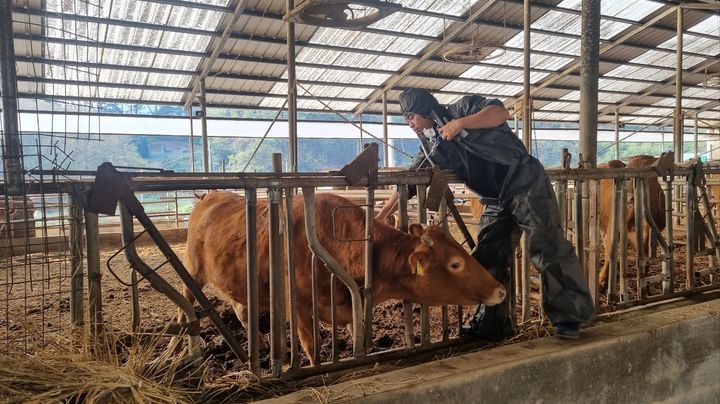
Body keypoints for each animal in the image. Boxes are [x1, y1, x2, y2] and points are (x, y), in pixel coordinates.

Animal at [180, 191, 506, 362]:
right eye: (456, 264)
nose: (500, 290)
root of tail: (211, 195)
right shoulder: (300, 308)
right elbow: (313, 348)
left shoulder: (351, 305)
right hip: (193, 269)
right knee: (188, 304)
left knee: (241, 308)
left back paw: (259, 344)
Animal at [600, 155, 668, 288]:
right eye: (628, 176)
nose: (630, 198)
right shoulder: (613, 231)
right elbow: (610, 252)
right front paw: (603, 280)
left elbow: (645, 260)